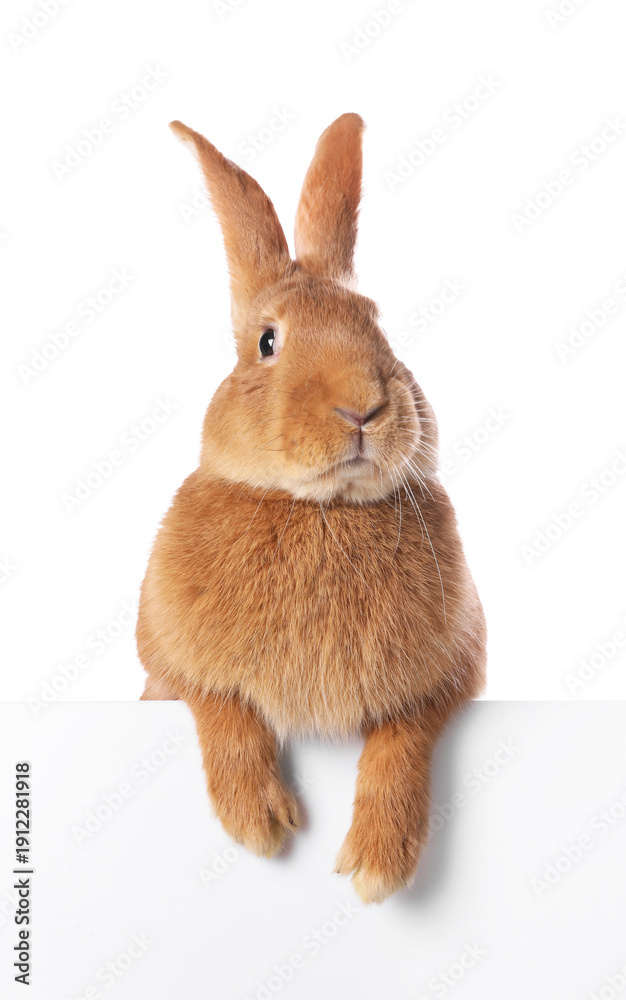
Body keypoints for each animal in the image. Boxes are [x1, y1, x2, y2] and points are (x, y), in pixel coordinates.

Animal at [137, 113, 486, 904]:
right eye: (268, 341)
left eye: (377, 325)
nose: (363, 406)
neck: (322, 510)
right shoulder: (169, 662)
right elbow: (222, 705)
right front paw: (258, 820)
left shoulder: (452, 670)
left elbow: (401, 738)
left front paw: (379, 861)